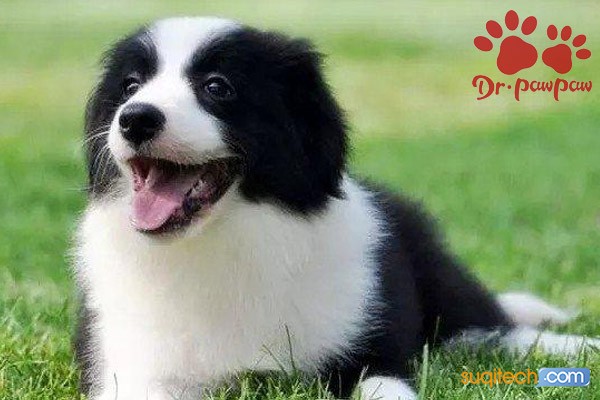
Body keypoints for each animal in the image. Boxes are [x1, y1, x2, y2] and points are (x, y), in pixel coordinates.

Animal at [74, 17, 598, 400]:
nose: (135, 119)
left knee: (488, 327)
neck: (222, 239)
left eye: (217, 87)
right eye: (129, 86)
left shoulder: (370, 343)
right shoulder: (132, 365)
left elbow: (384, 379)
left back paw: (576, 345)